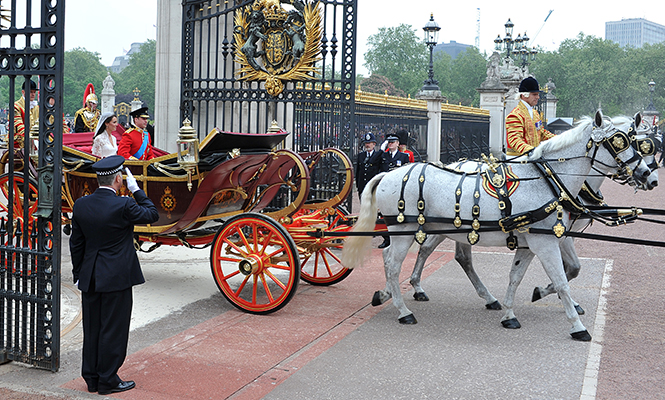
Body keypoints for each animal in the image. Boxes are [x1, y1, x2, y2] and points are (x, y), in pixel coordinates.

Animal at [342, 110, 648, 340]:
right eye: (619, 141)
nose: (647, 174)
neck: (548, 182)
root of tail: (389, 173)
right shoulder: (546, 242)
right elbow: (562, 280)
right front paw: (577, 326)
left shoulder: (532, 242)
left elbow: (517, 277)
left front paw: (510, 314)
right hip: (405, 231)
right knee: (393, 265)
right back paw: (403, 310)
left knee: (415, 258)